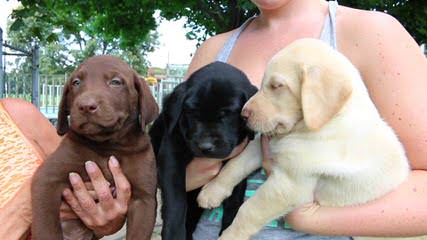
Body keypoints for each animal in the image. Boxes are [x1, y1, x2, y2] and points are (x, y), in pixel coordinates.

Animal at [31, 55, 159, 240]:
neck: (108, 145)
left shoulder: (144, 198)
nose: (85, 106)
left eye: (115, 82)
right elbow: (46, 228)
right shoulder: (47, 179)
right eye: (76, 82)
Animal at [150, 62, 258, 240]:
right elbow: (176, 199)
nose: (205, 146)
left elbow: (234, 200)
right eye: (192, 113)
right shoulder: (171, 155)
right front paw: (174, 234)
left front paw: (228, 230)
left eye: (226, 114)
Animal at [197, 38, 412, 239]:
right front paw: (212, 191)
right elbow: (235, 166)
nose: (243, 114)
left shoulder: (288, 185)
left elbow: (249, 210)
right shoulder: (263, 145)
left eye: (277, 86)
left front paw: (230, 236)